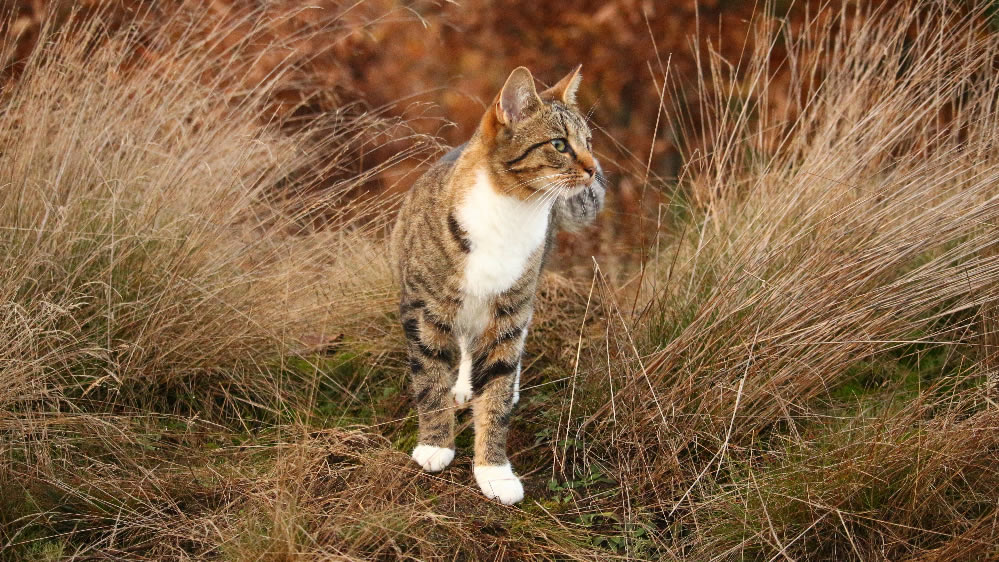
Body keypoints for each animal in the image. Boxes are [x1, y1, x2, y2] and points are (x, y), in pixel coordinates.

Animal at [390, 65, 600, 504]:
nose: (594, 169)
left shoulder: (509, 312)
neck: (513, 211)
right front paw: (435, 445)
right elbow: (429, 380)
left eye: (588, 142)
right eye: (559, 144)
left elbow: (498, 391)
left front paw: (494, 471)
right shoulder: (424, 310)